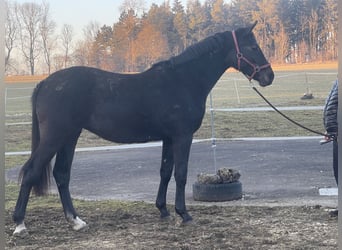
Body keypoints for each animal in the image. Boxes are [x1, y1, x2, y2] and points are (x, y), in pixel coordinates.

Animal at [13, 22, 274, 235]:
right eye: (253, 47)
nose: (269, 76)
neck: (183, 80)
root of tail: (45, 82)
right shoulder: (182, 137)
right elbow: (180, 174)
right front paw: (184, 214)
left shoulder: (169, 138)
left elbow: (165, 172)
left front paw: (164, 211)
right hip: (55, 138)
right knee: (31, 172)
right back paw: (20, 225)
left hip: (69, 137)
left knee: (62, 175)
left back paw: (76, 221)